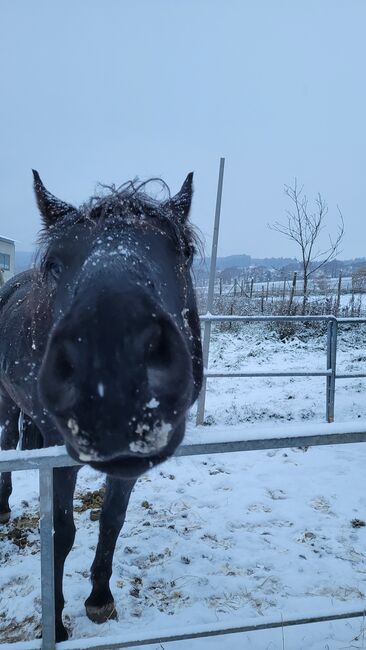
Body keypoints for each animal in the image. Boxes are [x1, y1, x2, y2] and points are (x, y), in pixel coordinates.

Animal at [0, 170, 203, 640]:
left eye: (184, 253)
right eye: (55, 263)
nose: (115, 362)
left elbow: (112, 519)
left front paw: (99, 598)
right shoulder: (59, 455)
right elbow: (60, 531)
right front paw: (55, 621)